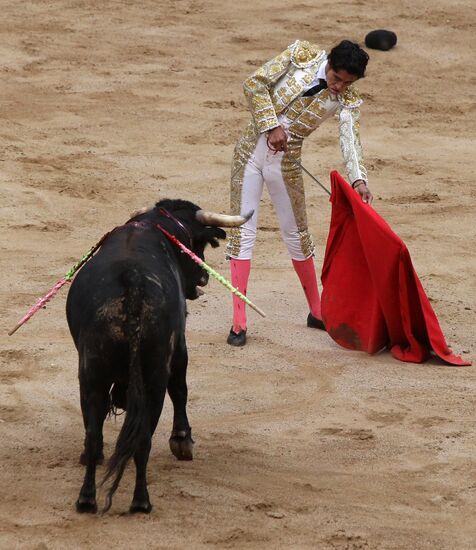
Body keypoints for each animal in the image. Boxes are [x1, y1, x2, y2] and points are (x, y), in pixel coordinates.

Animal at [66, 201, 249, 516]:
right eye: (197, 245)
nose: (204, 276)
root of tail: (132, 284)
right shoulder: (179, 345)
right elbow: (181, 389)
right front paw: (182, 441)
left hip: (92, 374)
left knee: (93, 434)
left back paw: (87, 499)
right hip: (153, 377)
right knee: (143, 437)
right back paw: (141, 501)